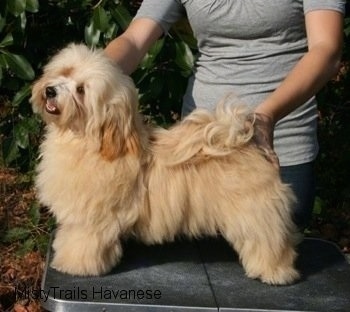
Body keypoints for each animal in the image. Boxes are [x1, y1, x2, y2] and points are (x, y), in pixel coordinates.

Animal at [30, 44, 300, 286]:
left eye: (81, 90)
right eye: (65, 71)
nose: (51, 90)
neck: (91, 141)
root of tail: (240, 140)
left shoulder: (91, 219)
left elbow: (83, 242)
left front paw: (75, 265)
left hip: (255, 212)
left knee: (268, 241)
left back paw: (275, 272)